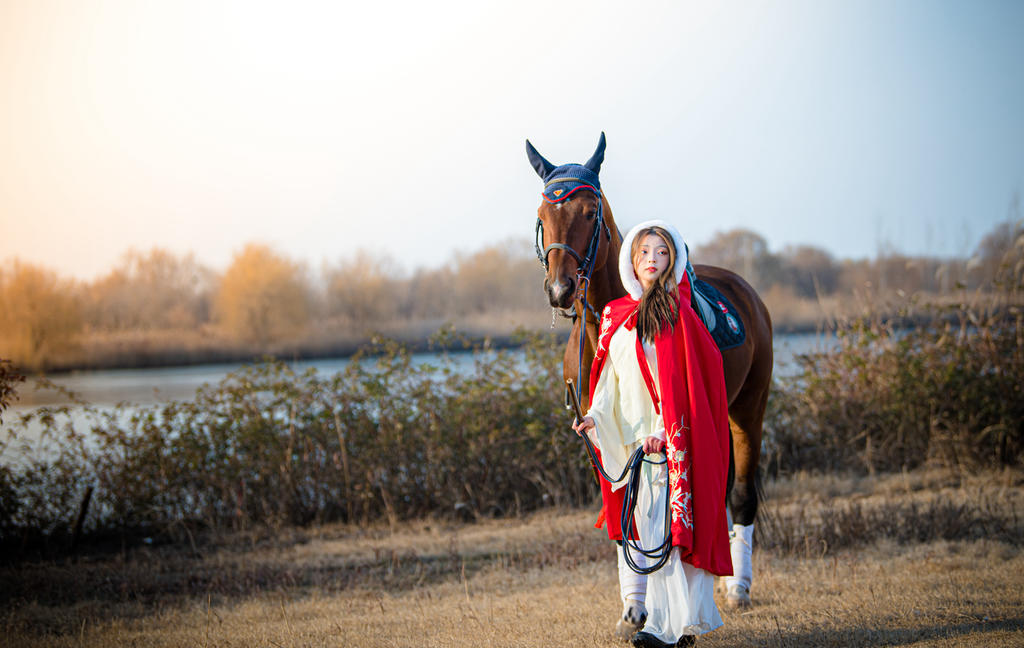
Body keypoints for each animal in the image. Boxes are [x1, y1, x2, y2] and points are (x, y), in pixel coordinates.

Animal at [524, 133, 770, 610]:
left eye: (589, 213)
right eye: (543, 215)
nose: (560, 290)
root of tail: (745, 290)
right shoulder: (599, 435)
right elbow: (624, 509)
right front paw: (633, 605)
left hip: (748, 410)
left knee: (741, 495)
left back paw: (738, 587)